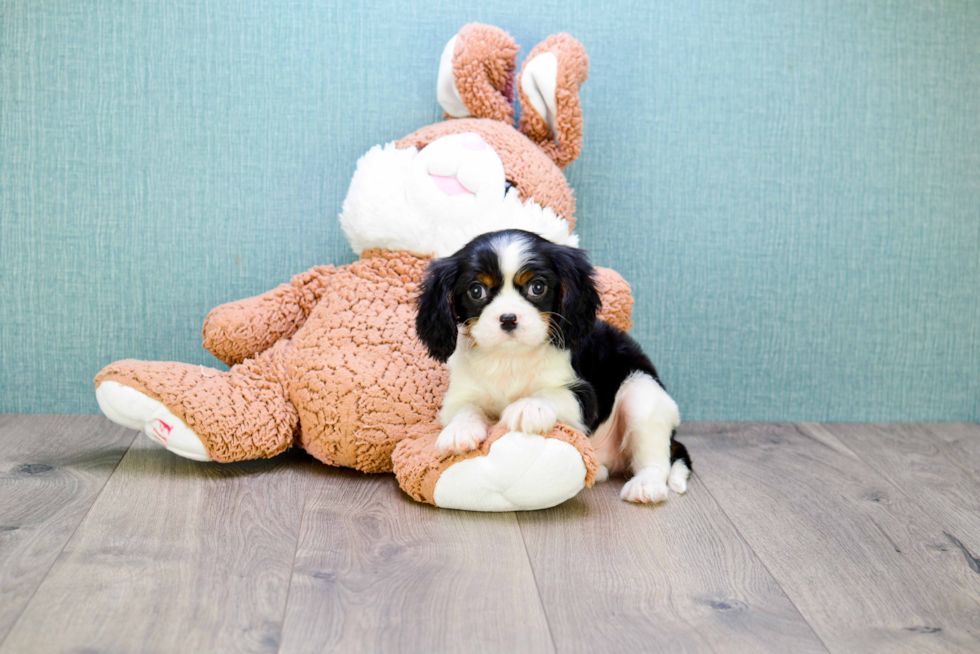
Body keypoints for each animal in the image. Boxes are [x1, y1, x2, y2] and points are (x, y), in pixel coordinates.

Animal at [414, 228, 688, 504]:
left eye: (537, 287)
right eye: (476, 290)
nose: (508, 319)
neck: (509, 357)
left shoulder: (583, 397)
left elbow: (549, 393)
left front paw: (528, 407)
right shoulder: (459, 395)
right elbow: (465, 408)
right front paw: (460, 430)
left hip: (641, 391)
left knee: (657, 458)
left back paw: (646, 485)